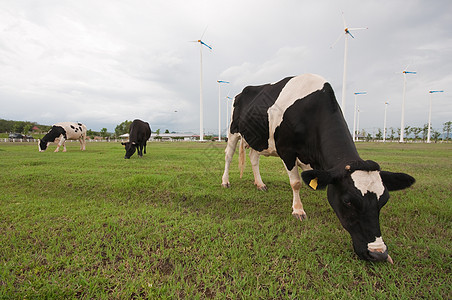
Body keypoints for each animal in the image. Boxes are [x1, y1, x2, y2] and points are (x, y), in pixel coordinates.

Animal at [221, 74, 414, 262]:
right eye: (348, 201)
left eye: (384, 200)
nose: (378, 253)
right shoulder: (287, 151)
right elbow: (296, 183)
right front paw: (298, 210)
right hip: (233, 130)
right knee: (228, 155)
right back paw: (225, 182)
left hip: (258, 139)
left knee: (254, 158)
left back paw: (260, 184)